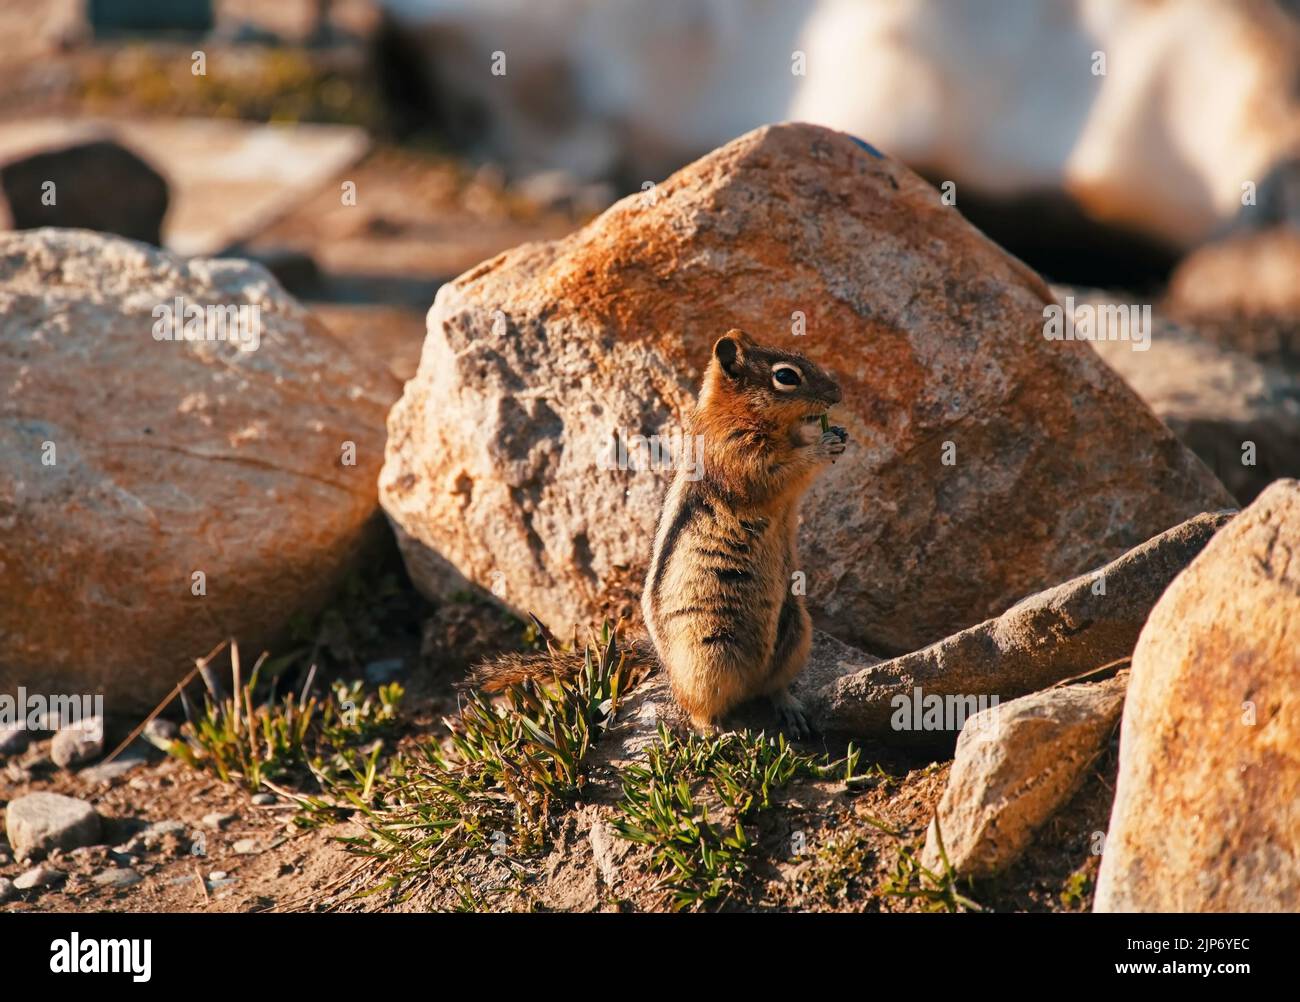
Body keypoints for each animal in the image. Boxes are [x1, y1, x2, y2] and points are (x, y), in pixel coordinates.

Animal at [464, 329, 848, 737]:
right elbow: (777, 475)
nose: (837, 394)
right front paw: (822, 444)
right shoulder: (738, 456)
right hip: (709, 653)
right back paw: (717, 731)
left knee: (772, 685)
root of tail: (666, 664)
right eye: (786, 376)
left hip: (796, 629)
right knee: (697, 705)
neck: (737, 414)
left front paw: (836, 433)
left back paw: (790, 708)